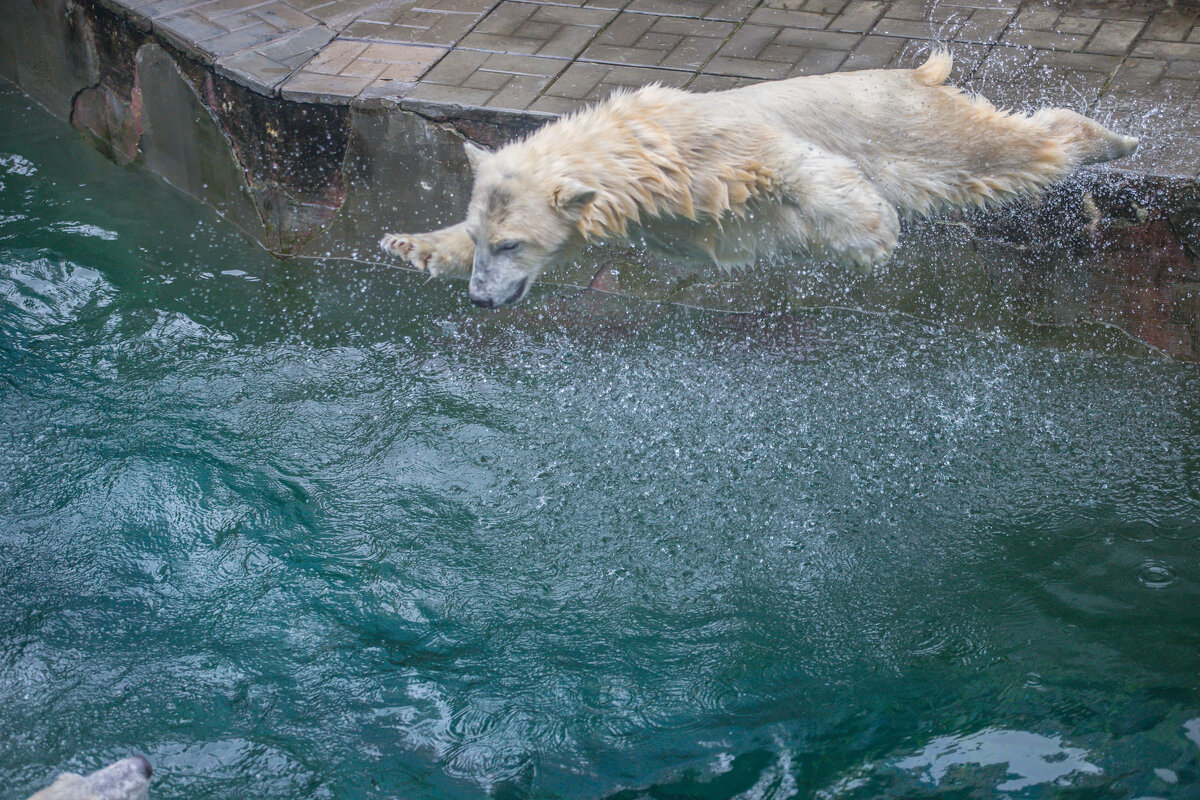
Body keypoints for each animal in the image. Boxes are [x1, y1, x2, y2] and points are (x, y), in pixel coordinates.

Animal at [381, 50, 1132, 307]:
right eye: (488, 240)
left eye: (512, 245)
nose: (482, 300)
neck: (634, 149)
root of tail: (916, 74)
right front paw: (409, 246)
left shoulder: (710, 148)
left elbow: (801, 164)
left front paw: (872, 235)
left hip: (907, 128)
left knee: (990, 153)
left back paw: (1111, 139)